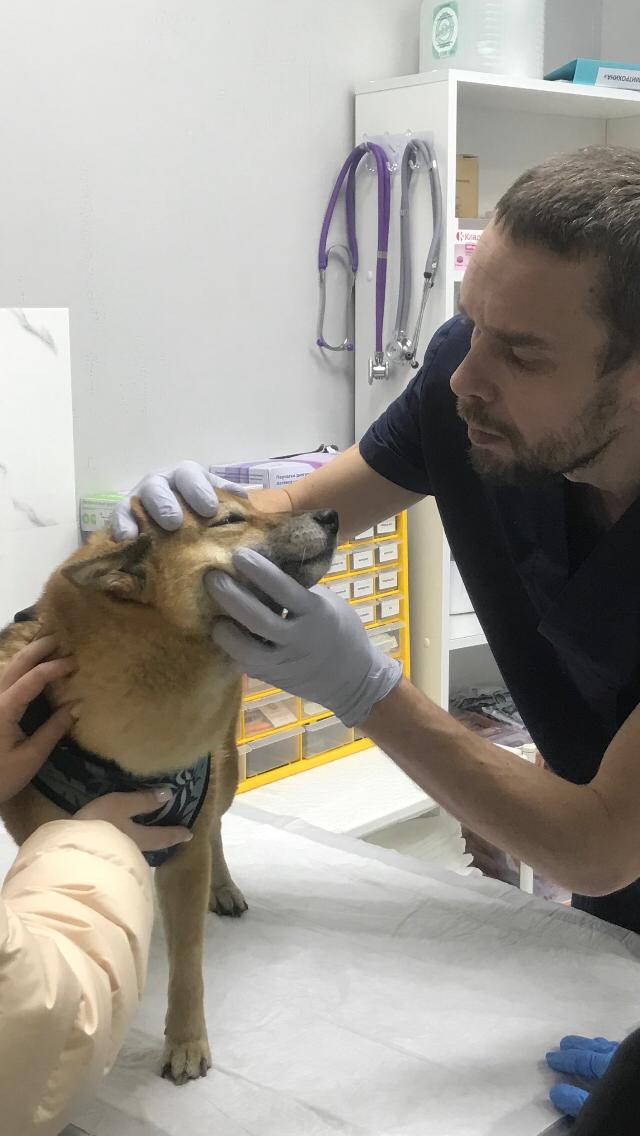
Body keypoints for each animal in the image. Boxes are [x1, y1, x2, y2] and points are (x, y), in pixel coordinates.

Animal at [0, 492, 338, 1084]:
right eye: (229, 519)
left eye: (251, 505)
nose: (330, 515)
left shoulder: (185, 851)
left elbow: (188, 965)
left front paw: (185, 1042)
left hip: (224, 778)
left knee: (218, 828)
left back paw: (223, 887)